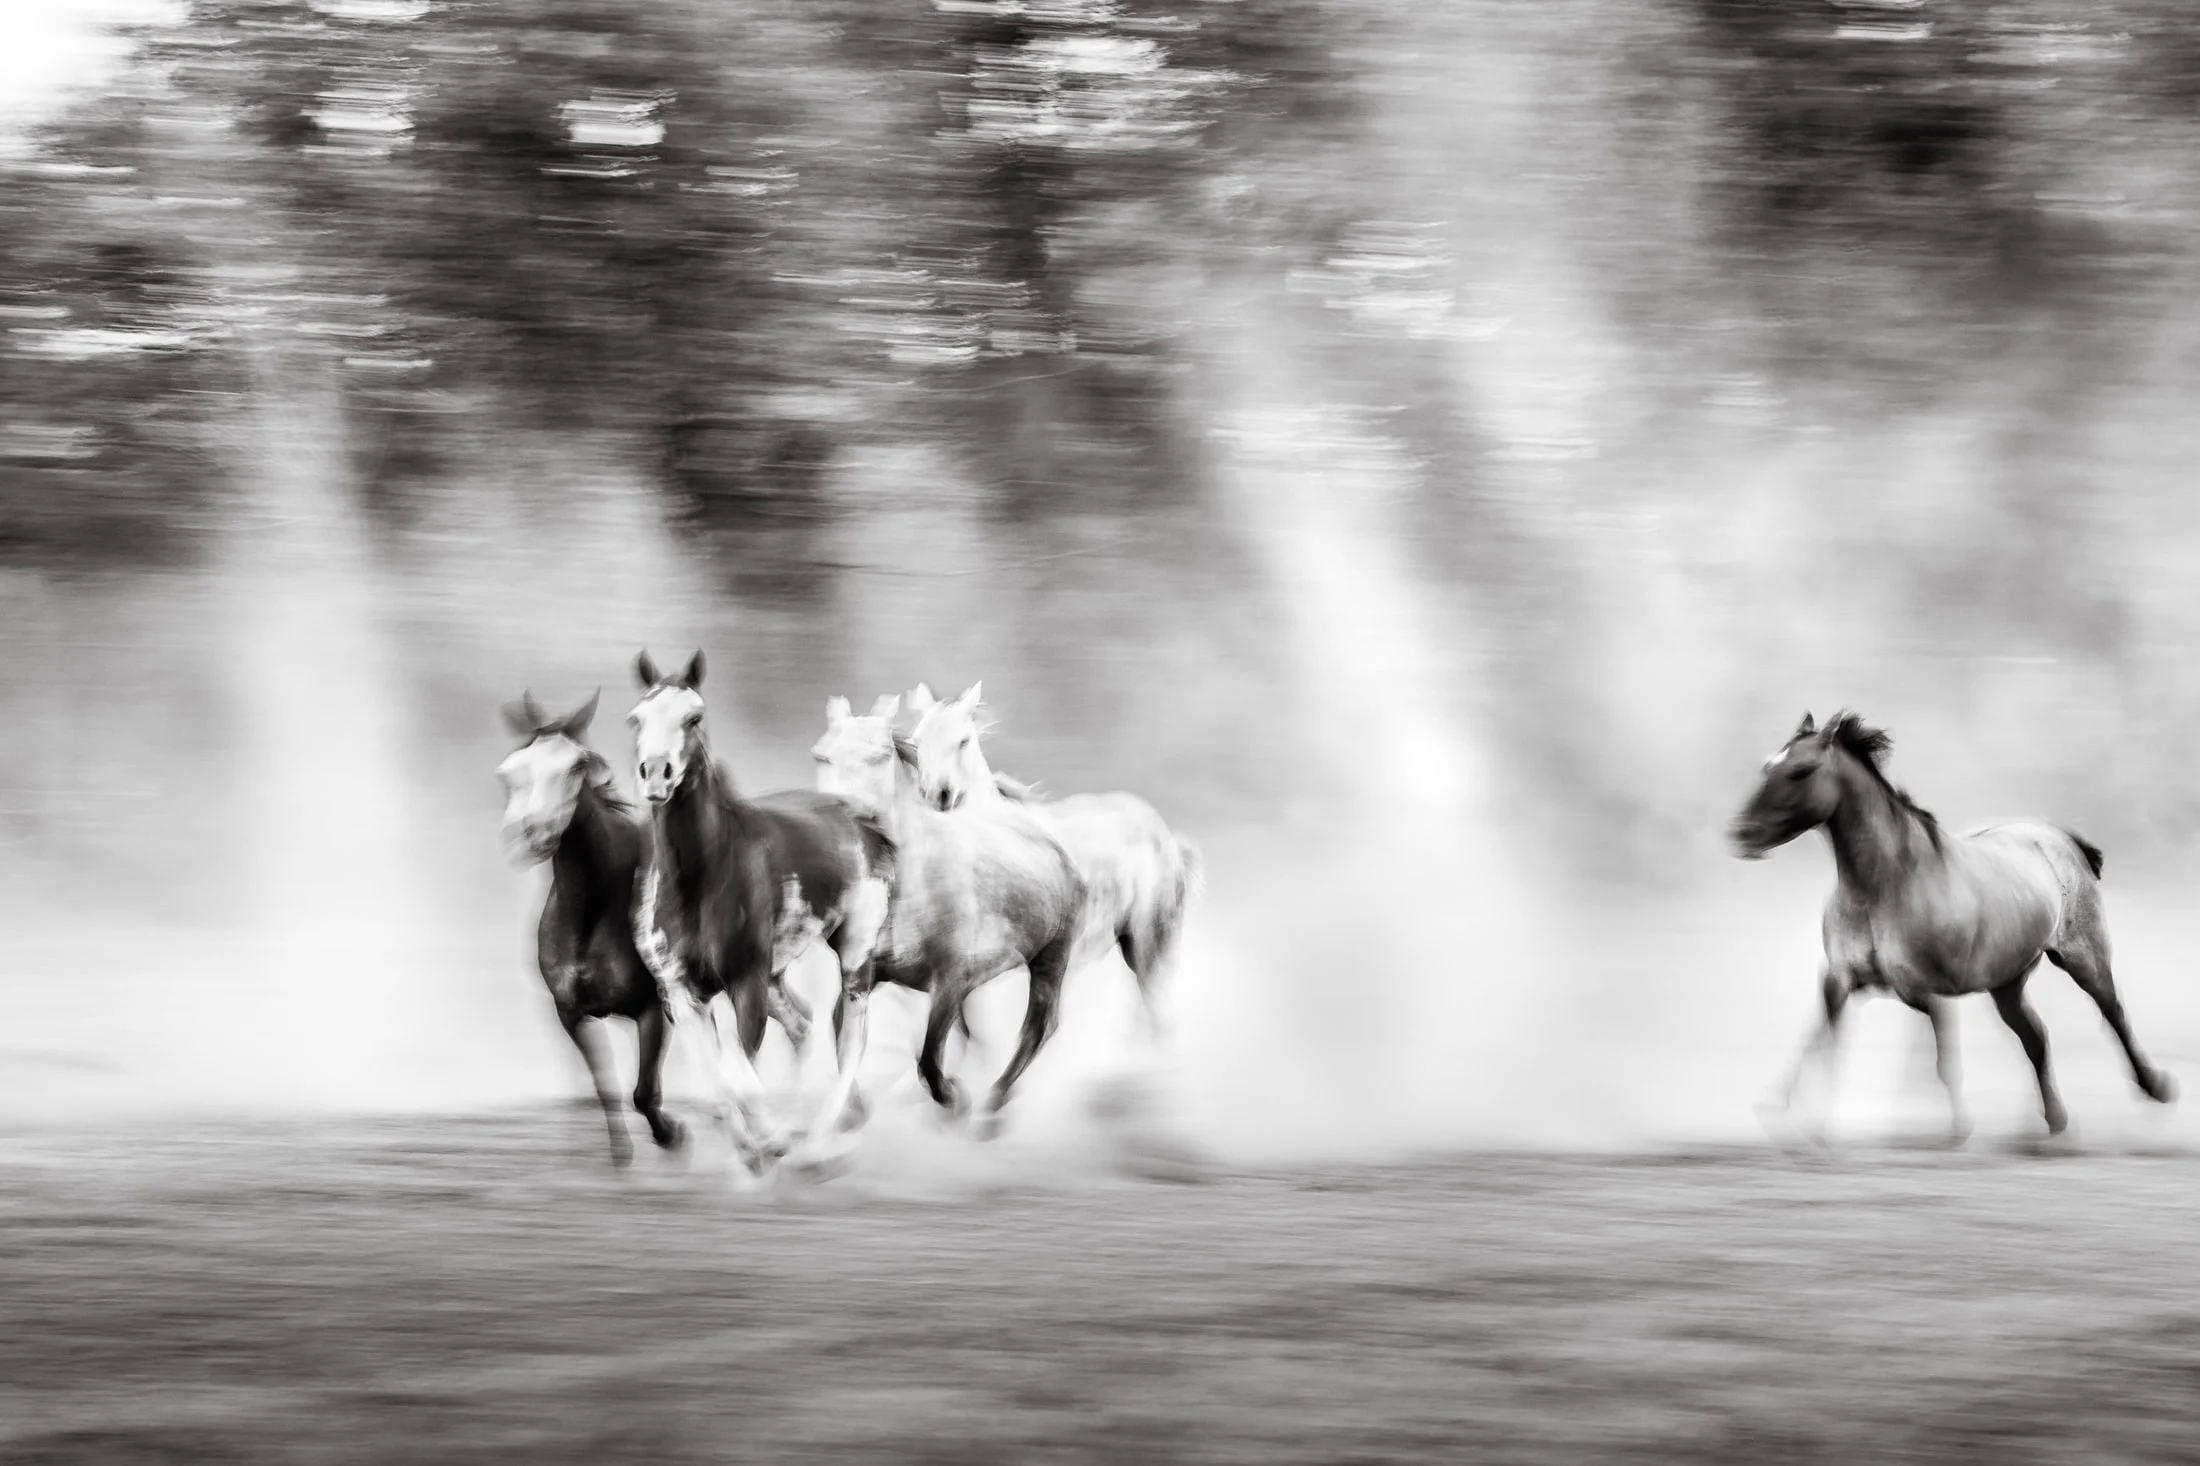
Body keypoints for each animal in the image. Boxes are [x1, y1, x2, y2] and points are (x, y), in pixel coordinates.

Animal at [495, 690, 683, 1166]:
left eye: (577, 765)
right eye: (511, 770)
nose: (533, 835)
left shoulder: (651, 1008)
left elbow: (643, 1092)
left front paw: (673, 1136)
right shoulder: (571, 1013)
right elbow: (604, 1086)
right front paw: (619, 1153)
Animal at [626, 649, 890, 1172]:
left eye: (694, 717)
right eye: (636, 718)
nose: (657, 772)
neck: (700, 884)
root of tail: (855, 813)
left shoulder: (744, 982)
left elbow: (737, 1068)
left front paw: (771, 1143)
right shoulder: (681, 990)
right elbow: (718, 1074)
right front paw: (755, 1144)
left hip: (853, 952)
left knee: (850, 1036)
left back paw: (823, 1144)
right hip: (776, 975)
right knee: (804, 1024)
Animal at [812, 691, 1085, 1140]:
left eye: (880, 754)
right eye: (822, 755)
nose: (838, 815)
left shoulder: (950, 981)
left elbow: (927, 1056)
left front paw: (955, 1100)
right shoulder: (864, 975)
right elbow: (843, 1035)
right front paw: (853, 1111)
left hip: (1050, 959)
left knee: (1038, 1028)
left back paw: (993, 1105)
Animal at [1730, 709, 2177, 1144]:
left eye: (1801, 771)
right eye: (1768, 766)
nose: (1741, 835)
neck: (1886, 886)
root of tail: (2058, 838)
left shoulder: (1926, 992)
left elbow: (1942, 1062)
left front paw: (1956, 1130)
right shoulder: (1840, 981)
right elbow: (1818, 1045)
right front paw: (1792, 1116)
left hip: (2084, 959)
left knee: (2113, 1013)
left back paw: (2154, 1088)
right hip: (2007, 984)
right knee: (2035, 1038)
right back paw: (2053, 1123)